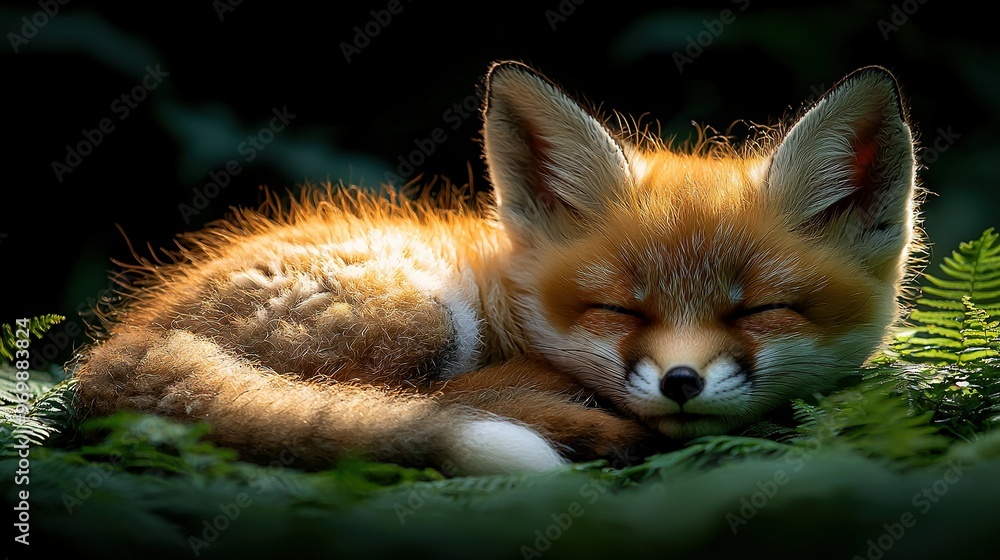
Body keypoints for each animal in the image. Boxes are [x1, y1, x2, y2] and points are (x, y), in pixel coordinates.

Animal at [72, 61, 921, 476]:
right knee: (418, 401)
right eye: (622, 310)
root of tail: (119, 349)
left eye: (756, 311)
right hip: (422, 311)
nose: (681, 383)